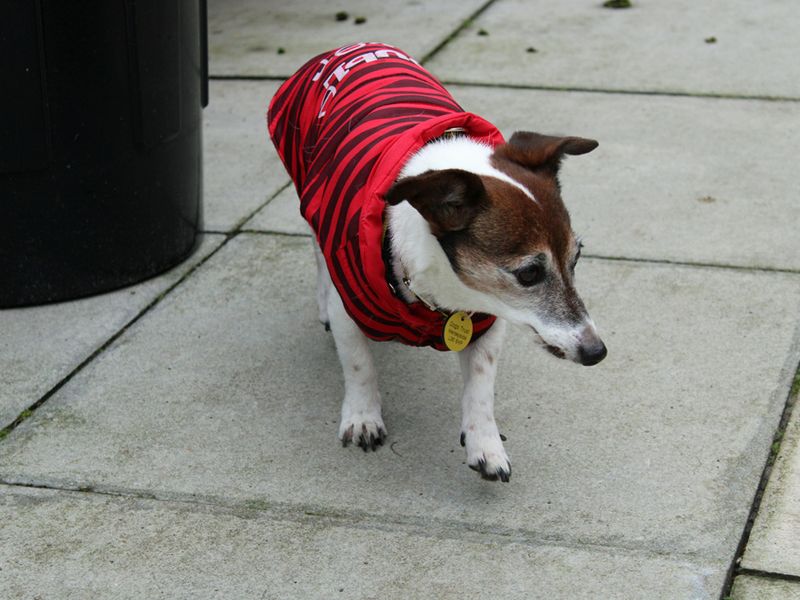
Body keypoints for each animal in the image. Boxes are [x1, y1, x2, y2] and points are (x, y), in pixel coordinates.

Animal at [266, 42, 604, 482]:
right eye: (529, 273)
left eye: (576, 258)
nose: (597, 351)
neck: (440, 296)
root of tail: (352, 47)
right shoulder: (349, 306)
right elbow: (359, 365)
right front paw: (363, 416)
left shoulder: (487, 320)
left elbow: (481, 384)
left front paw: (484, 443)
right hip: (309, 194)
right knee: (317, 250)